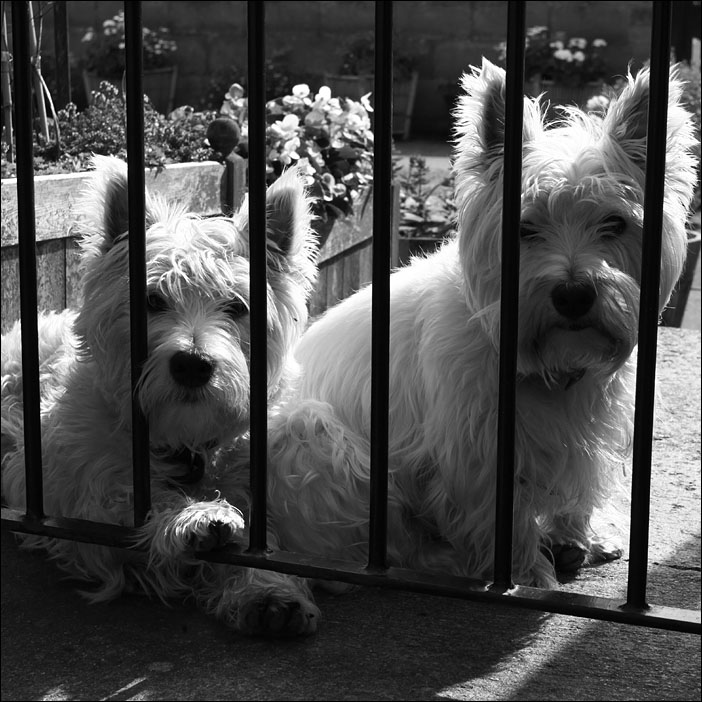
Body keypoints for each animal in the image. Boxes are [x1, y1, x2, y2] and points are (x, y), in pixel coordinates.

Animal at [1, 155, 320, 640]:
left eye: (237, 307)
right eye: (152, 299)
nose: (192, 364)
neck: (184, 440)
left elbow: (259, 540)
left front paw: (267, 589)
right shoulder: (80, 506)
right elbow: (131, 505)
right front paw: (193, 517)